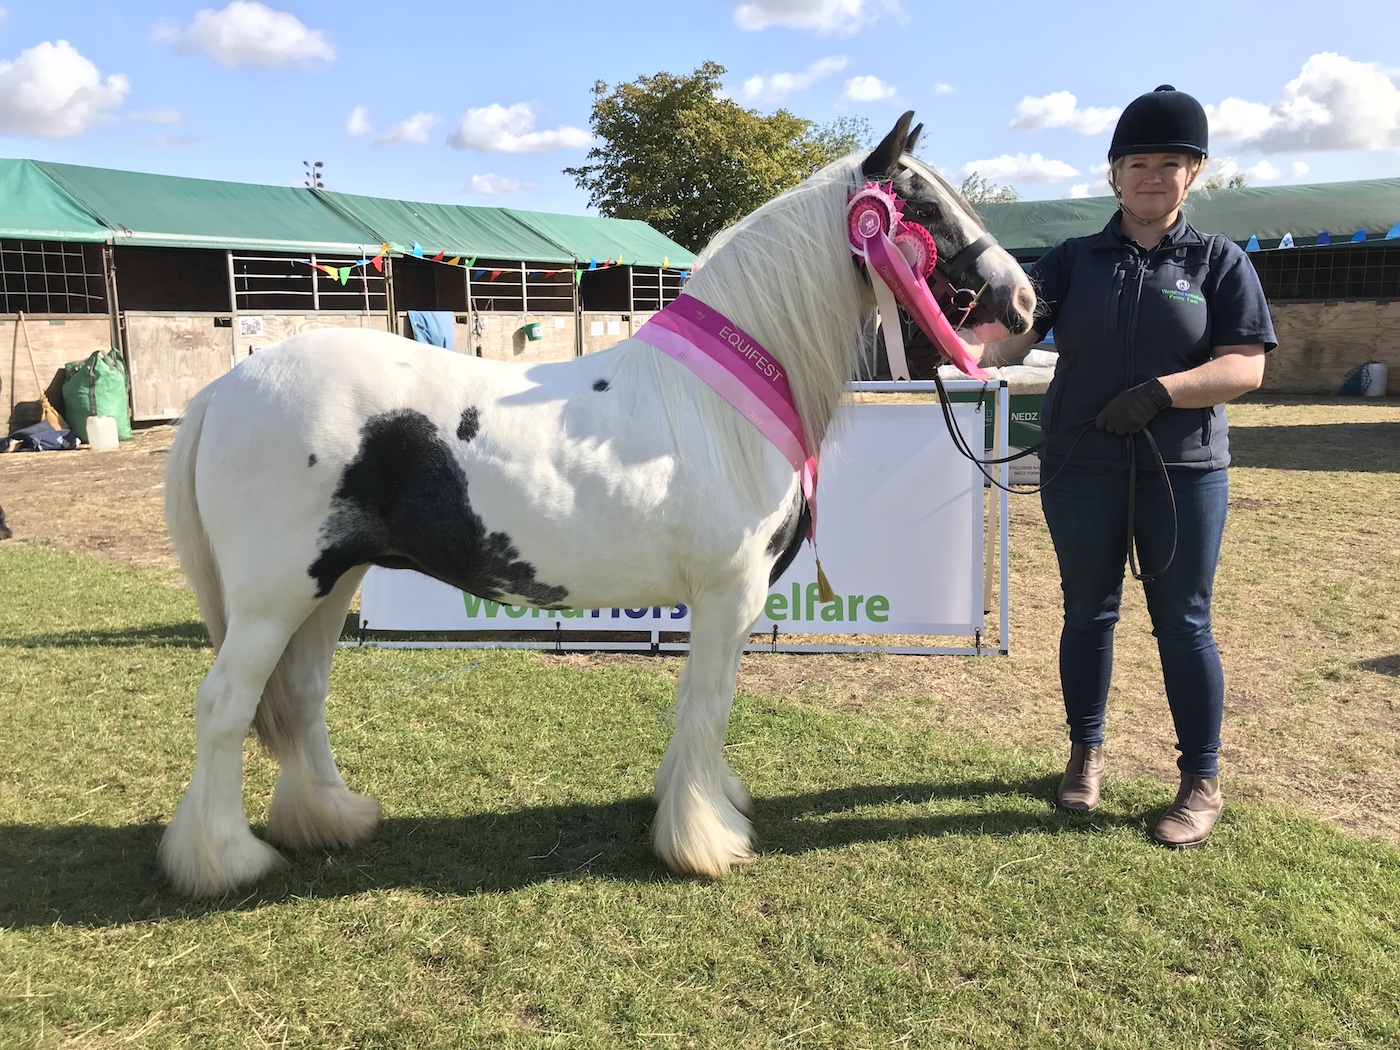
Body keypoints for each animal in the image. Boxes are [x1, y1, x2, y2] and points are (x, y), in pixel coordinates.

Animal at [158, 111, 1036, 897]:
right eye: (924, 208)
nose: (1026, 304)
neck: (723, 399)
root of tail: (222, 390)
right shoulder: (728, 595)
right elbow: (707, 708)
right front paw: (703, 842)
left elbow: (701, 713)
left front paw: (706, 806)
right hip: (274, 596)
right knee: (224, 705)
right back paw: (223, 861)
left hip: (330, 584)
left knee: (301, 697)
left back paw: (331, 819)